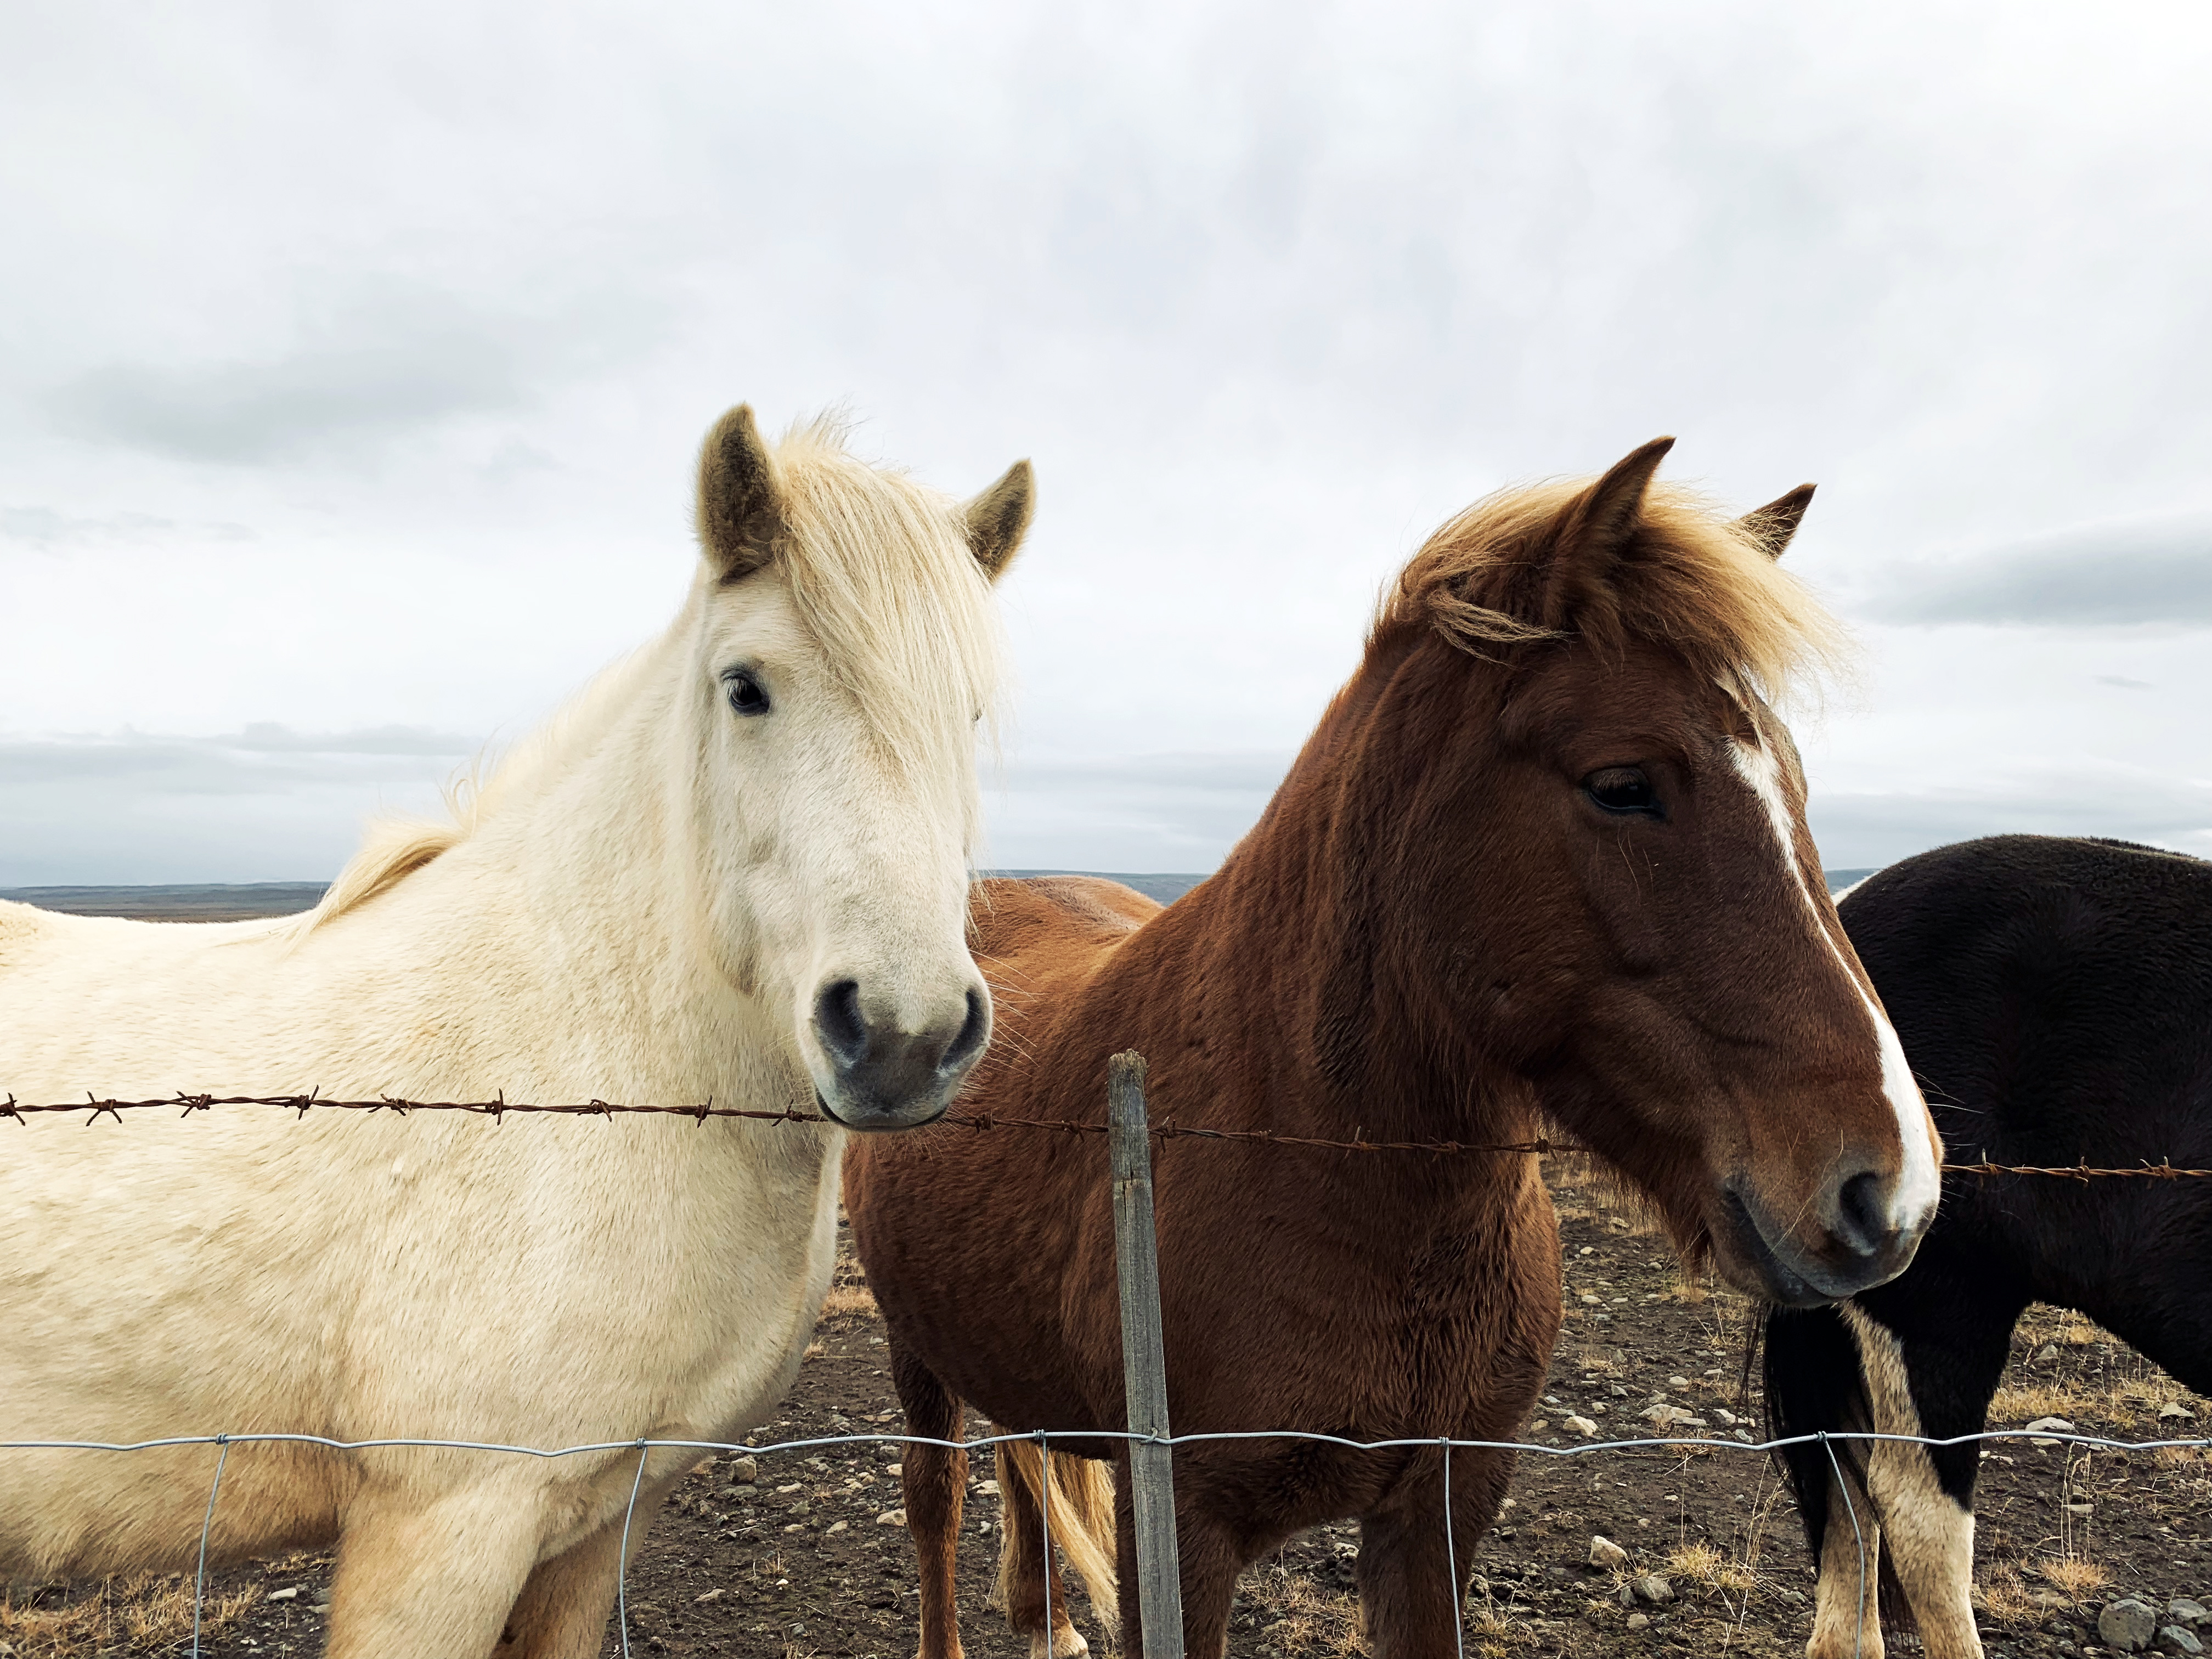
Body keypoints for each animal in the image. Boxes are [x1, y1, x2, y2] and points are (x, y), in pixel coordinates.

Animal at [0, 404, 1033, 1659]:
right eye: (745, 687)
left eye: (965, 713)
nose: (899, 1032)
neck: (580, 1061)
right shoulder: (446, 1528)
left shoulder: (595, 1526)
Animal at [845, 439, 1946, 1659]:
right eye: (1622, 784)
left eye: (1795, 779)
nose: (1890, 1192)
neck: (1303, 1158)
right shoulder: (1178, 1533)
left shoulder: (1439, 1509)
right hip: (914, 1352)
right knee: (936, 1507)